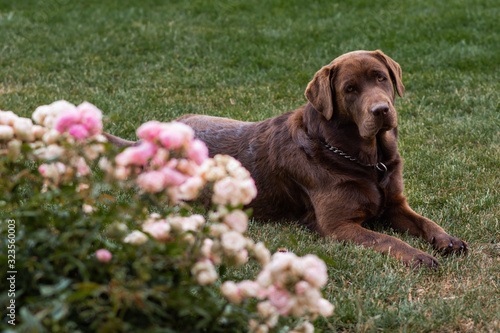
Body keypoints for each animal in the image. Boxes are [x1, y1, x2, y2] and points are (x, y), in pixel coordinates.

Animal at [106, 50, 468, 268]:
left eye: (381, 77)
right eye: (350, 89)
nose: (381, 110)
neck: (365, 159)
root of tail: (142, 142)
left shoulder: (395, 204)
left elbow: (425, 221)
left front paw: (446, 240)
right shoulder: (338, 226)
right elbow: (388, 240)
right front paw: (418, 256)